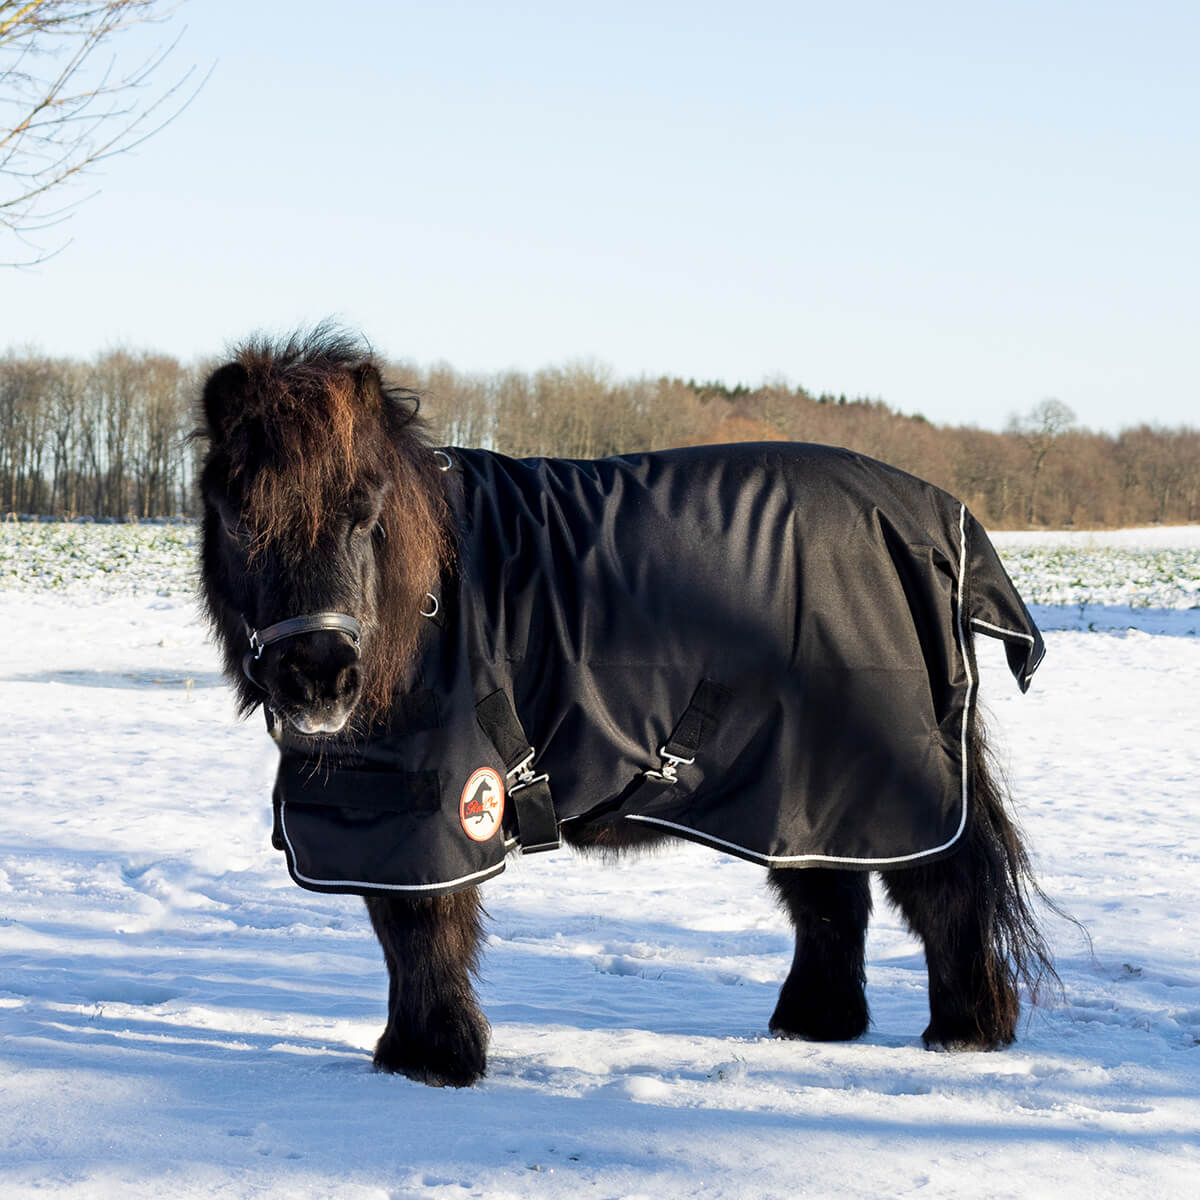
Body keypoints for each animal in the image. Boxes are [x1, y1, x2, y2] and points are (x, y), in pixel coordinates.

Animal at [199, 328, 1060, 1089]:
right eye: (240, 517)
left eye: (364, 516)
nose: (318, 678)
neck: (425, 601)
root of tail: (940, 517)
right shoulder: (378, 808)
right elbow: (398, 928)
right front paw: (415, 1053)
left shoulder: (440, 808)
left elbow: (425, 930)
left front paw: (434, 1061)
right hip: (798, 788)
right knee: (828, 894)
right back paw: (815, 1021)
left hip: (892, 774)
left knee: (945, 886)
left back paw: (965, 1029)